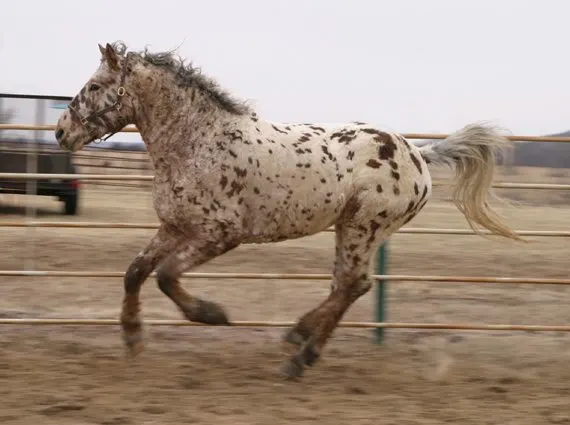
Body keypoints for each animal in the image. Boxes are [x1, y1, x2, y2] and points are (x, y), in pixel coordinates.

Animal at [55, 41, 520, 380]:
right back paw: (299, 343)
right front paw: (133, 338)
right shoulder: (173, 227)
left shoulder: (220, 234)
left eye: (94, 86)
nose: (61, 131)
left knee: (352, 285)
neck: (198, 143)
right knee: (348, 285)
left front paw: (213, 315)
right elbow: (135, 272)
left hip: (363, 227)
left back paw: (298, 354)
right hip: (352, 229)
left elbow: (167, 276)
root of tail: (419, 154)